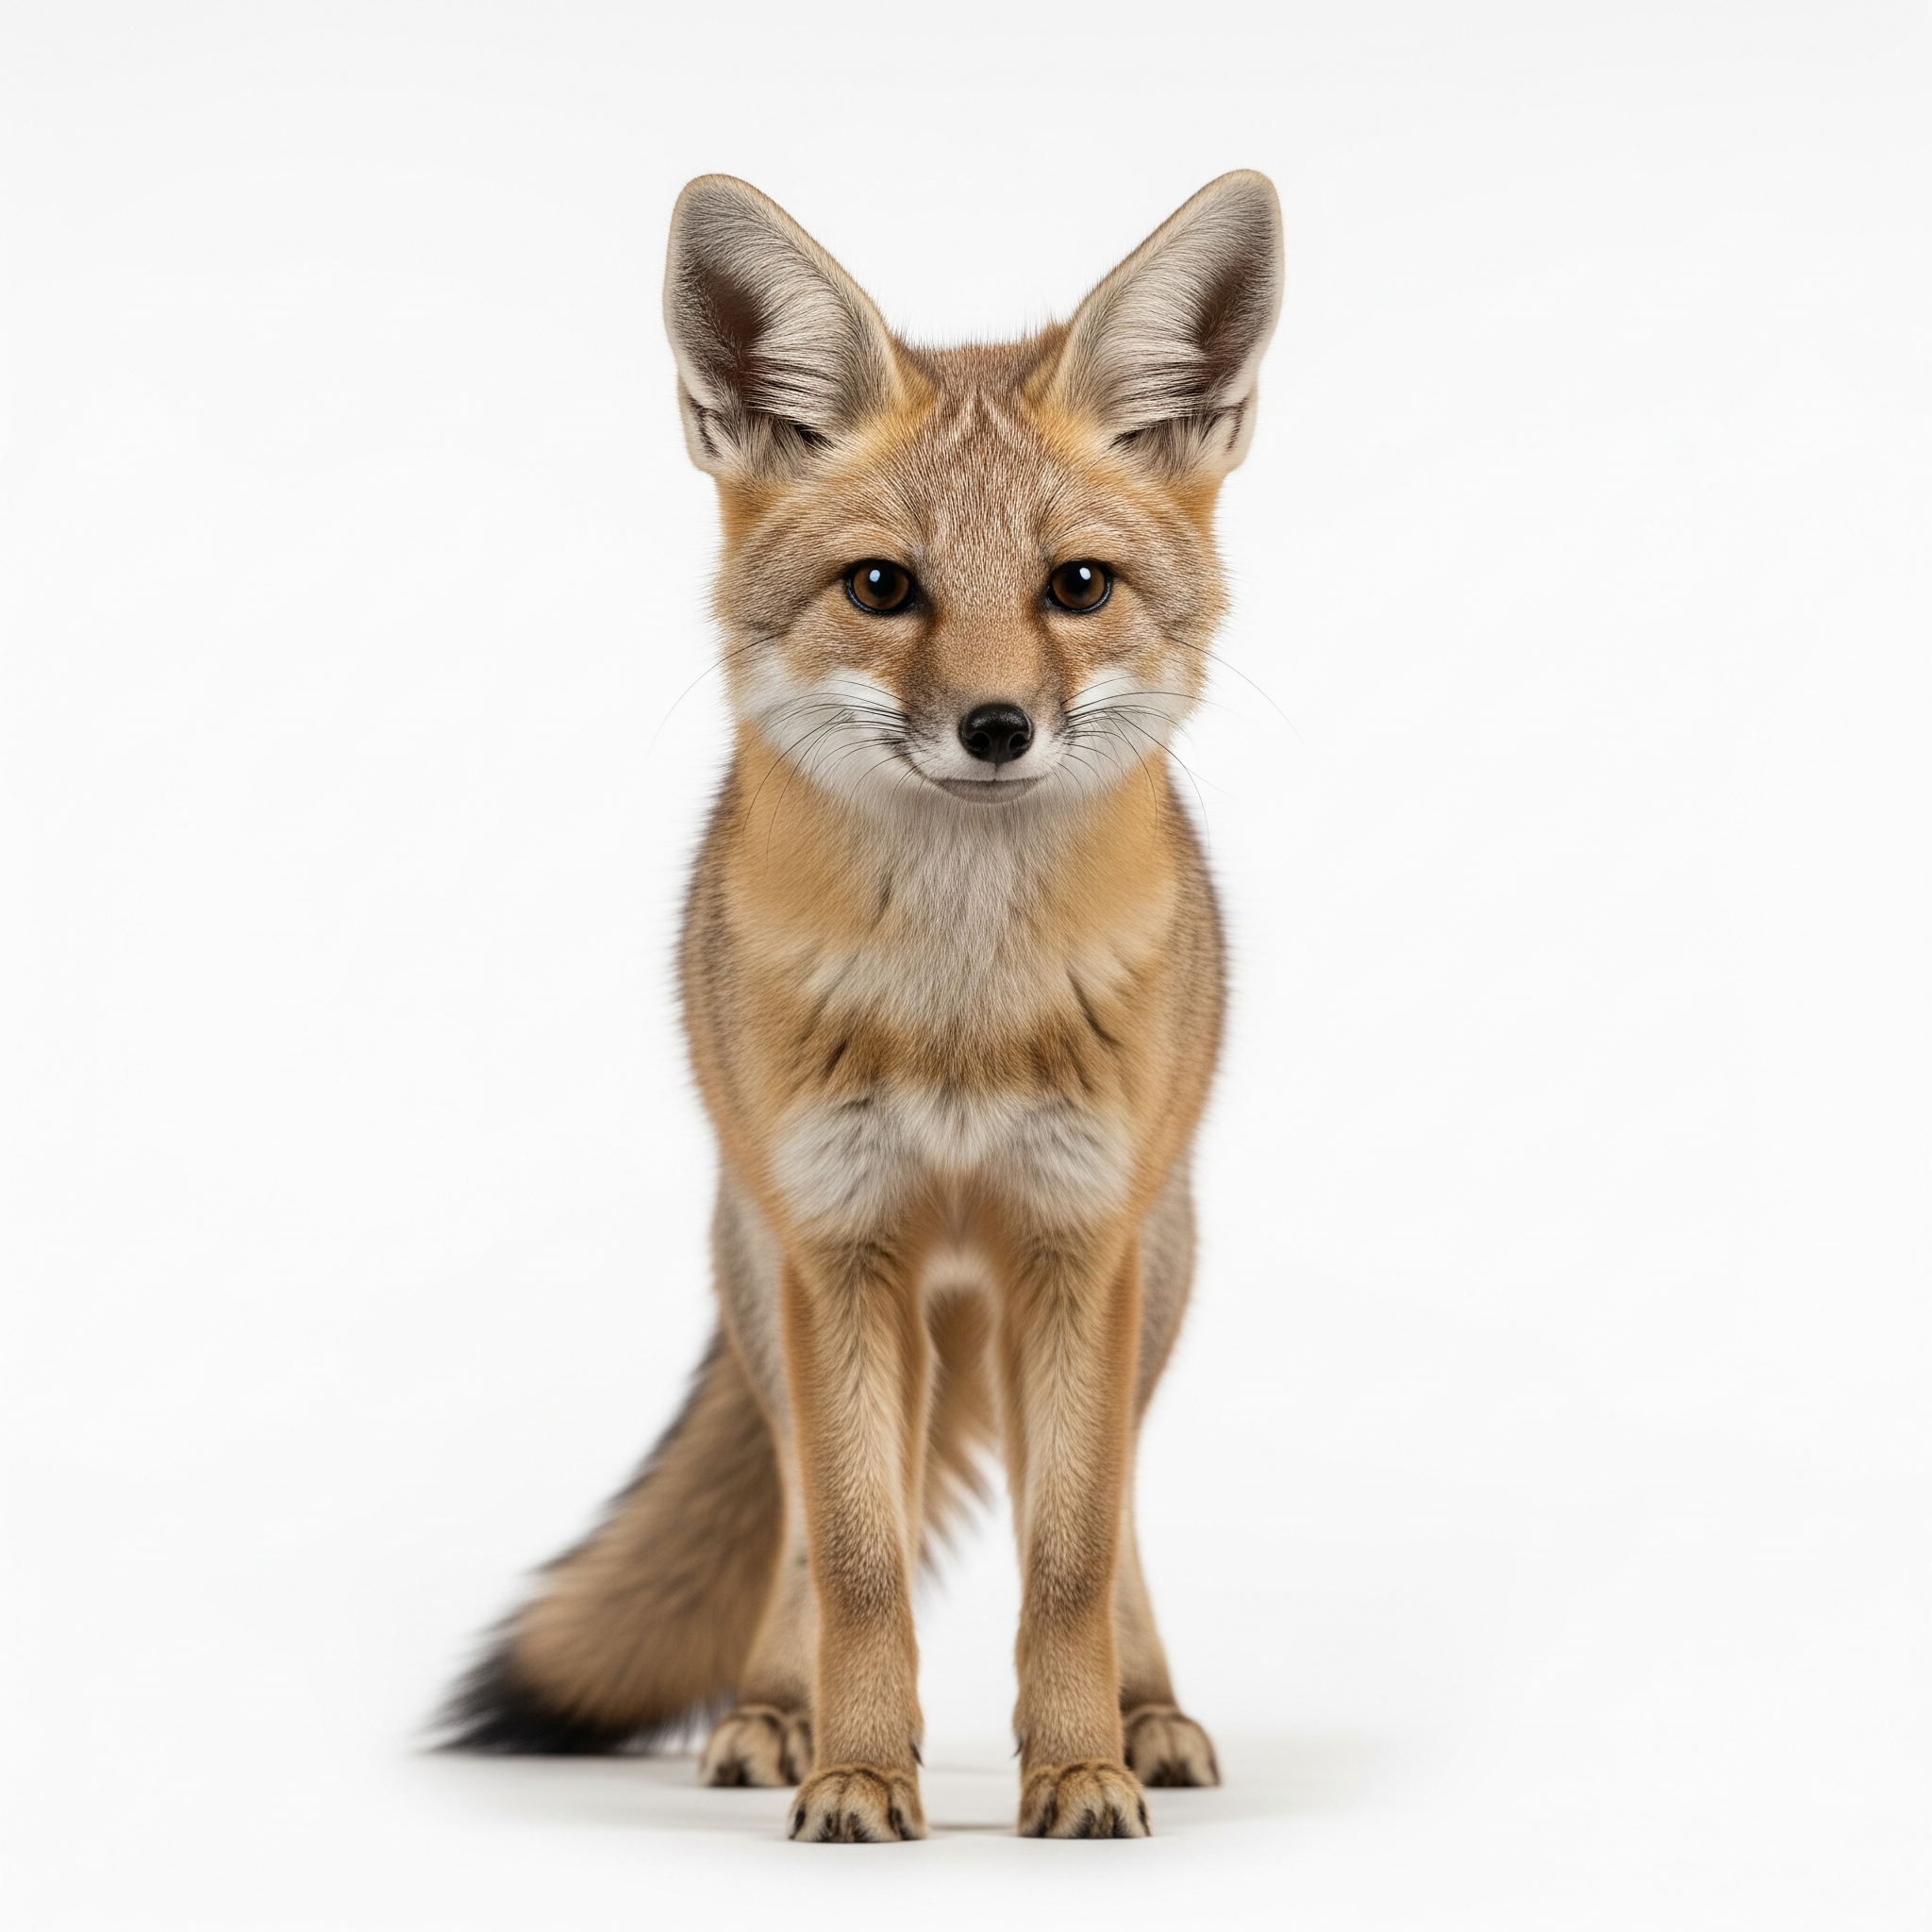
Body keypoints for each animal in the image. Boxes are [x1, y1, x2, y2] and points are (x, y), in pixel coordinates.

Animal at [441, 169, 1284, 1841]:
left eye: (1076, 587)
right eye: (883, 589)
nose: (997, 728)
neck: (958, 1020)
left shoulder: (1075, 1246)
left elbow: (1070, 1555)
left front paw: (1078, 1766)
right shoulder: (834, 1247)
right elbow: (851, 1554)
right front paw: (854, 1772)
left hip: (1135, 1285)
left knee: (1101, 1521)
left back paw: (1145, 1711)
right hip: (773, 1287)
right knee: (799, 1531)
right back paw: (779, 1711)